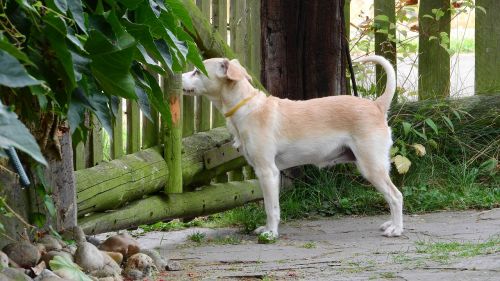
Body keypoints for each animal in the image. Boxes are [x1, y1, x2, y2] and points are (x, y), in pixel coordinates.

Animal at [182, 55, 404, 237]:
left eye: (197, 71)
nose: (177, 77)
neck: (248, 107)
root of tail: (376, 105)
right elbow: (270, 205)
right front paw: (267, 229)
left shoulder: (268, 172)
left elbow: (271, 208)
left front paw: (271, 233)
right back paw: (391, 224)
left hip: (371, 167)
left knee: (396, 196)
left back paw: (396, 229)